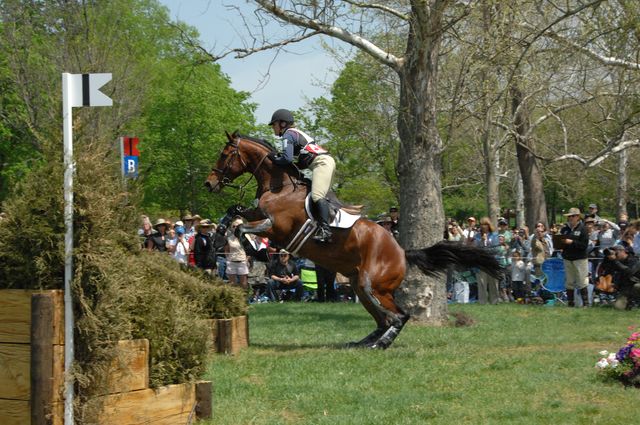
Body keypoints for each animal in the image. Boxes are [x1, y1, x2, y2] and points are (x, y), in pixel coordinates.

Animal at [205, 131, 500, 350]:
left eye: (225, 154)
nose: (209, 184)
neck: (279, 185)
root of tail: (402, 251)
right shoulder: (259, 216)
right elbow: (234, 213)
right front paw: (219, 235)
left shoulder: (274, 226)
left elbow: (244, 229)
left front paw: (253, 251)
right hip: (361, 286)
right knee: (384, 320)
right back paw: (363, 343)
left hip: (373, 285)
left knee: (400, 316)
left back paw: (380, 344)